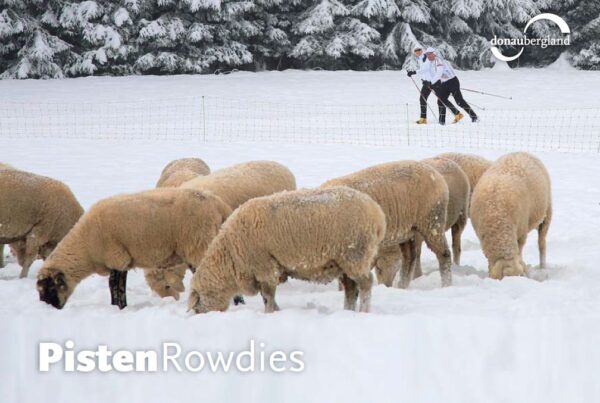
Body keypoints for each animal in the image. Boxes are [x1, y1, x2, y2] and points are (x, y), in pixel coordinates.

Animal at [36, 189, 231, 310]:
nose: (48, 309)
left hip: (199, 244)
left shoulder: (116, 257)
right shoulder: (122, 260)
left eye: (49, 288)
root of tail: (219, 204)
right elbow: (118, 286)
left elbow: (114, 286)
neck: (85, 247)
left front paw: (118, 307)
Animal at [186, 187, 384, 316]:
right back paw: (348, 312)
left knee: (366, 284)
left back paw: (364, 312)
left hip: (355, 255)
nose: (198, 315)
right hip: (343, 261)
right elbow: (266, 296)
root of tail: (378, 214)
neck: (229, 256)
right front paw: (276, 310)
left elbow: (267, 296)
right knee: (350, 288)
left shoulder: (265, 266)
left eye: (198, 303)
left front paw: (270, 313)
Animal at [322, 161, 452, 290]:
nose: (387, 286)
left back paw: (446, 284)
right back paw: (402, 286)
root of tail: (436, 174)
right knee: (410, 258)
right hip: (408, 231)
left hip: (432, 220)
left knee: (443, 253)